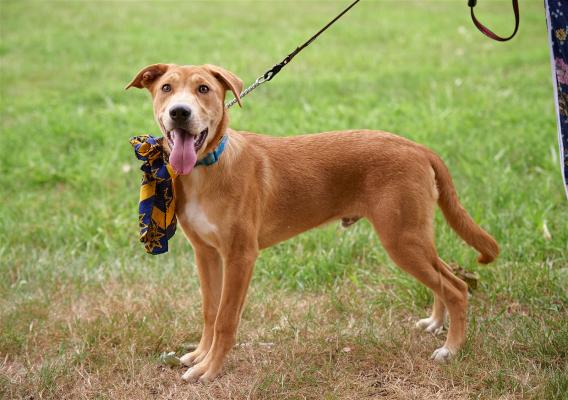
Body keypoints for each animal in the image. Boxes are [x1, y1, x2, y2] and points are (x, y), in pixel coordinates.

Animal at [126, 64, 500, 382]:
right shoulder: (205, 253)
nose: (180, 112)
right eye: (167, 88)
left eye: (203, 88)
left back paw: (451, 349)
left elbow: (225, 319)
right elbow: (209, 310)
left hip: (402, 239)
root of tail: (418, 147)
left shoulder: (240, 256)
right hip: (414, 236)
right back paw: (436, 322)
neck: (208, 168)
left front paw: (210, 369)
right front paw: (200, 356)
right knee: (444, 277)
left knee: (457, 287)